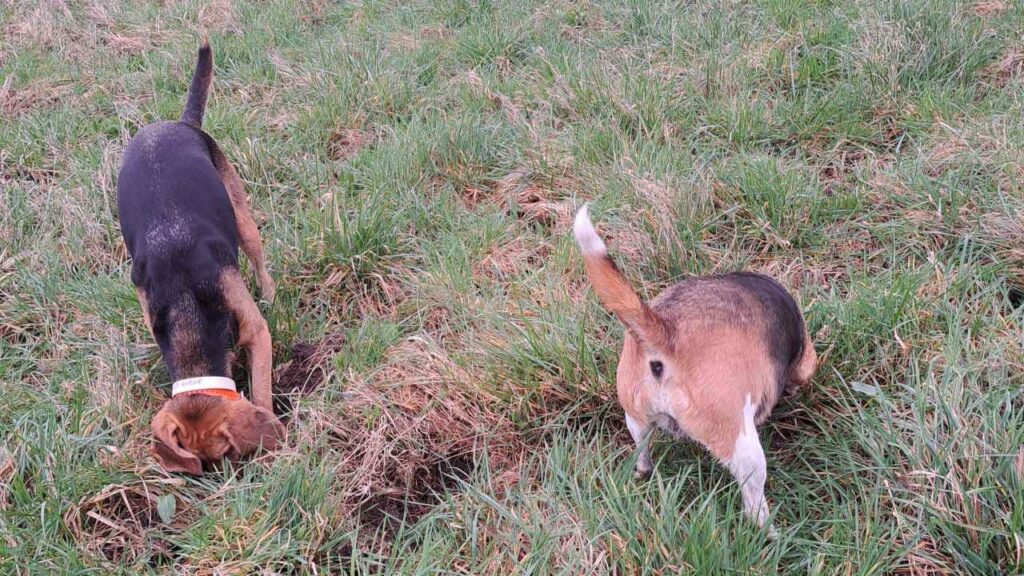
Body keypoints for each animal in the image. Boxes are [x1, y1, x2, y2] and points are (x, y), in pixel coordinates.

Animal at [117, 39, 284, 471]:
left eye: (226, 453)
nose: (224, 475)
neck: (185, 305)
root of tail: (176, 124)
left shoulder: (255, 331)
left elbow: (261, 390)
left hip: (242, 216)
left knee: (259, 262)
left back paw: (270, 293)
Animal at [573, 204, 819, 528]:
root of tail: (666, 332)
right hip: (741, 444)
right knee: (752, 497)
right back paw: (768, 531)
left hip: (635, 415)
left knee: (642, 448)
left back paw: (644, 471)